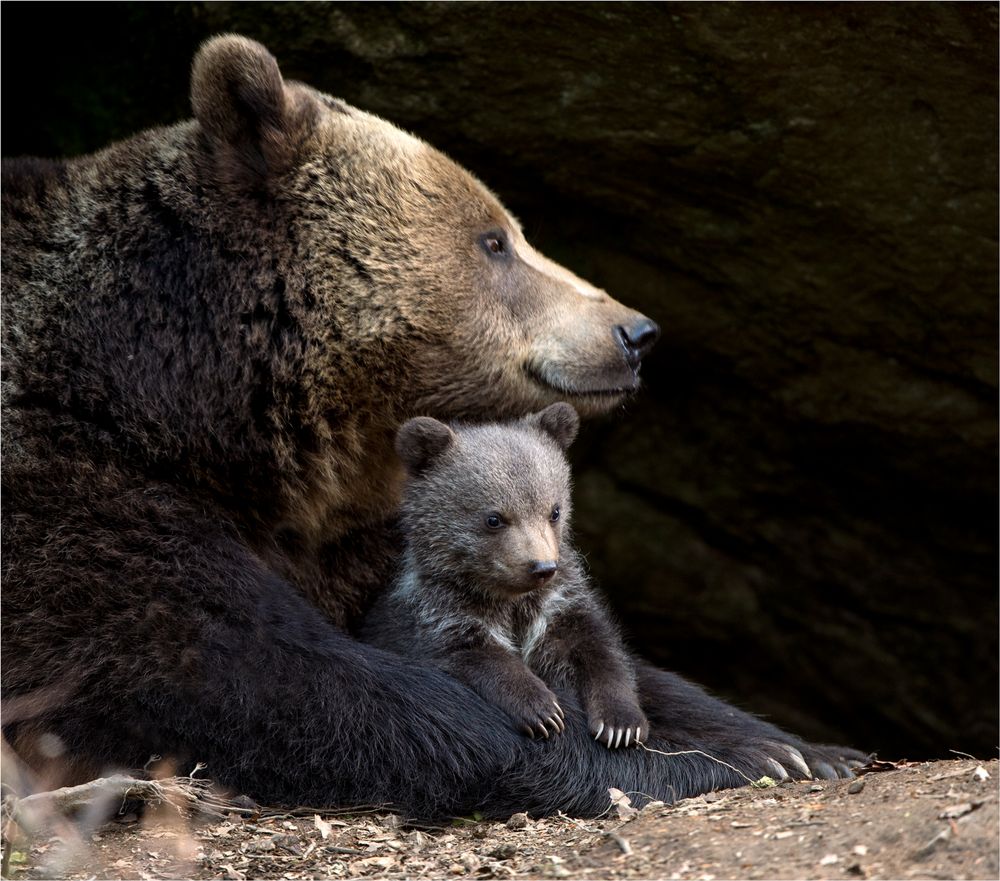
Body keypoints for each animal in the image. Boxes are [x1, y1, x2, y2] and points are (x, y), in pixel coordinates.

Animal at [364, 402, 652, 744]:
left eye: (554, 511)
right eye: (494, 518)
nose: (542, 567)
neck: (508, 598)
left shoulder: (560, 605)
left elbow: (598, 650)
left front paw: (621, 724)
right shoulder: (441, 613)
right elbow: (475, 655)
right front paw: (543, 710)